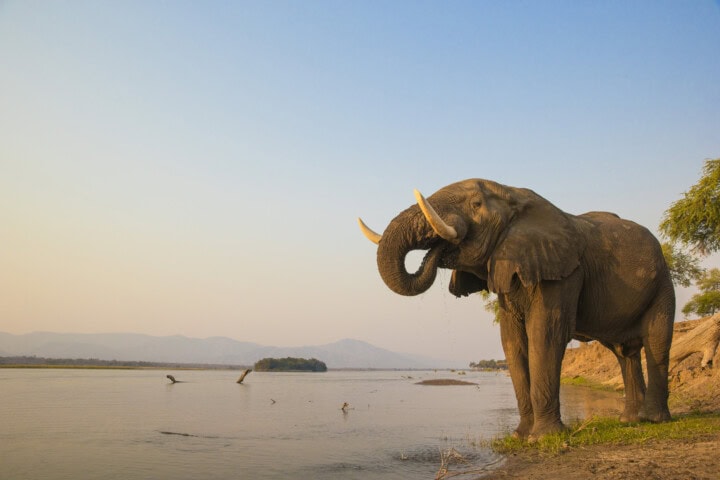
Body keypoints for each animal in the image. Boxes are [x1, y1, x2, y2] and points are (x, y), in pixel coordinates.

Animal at [358, 179, 674, 440]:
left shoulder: (563, 272)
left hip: (663, 283)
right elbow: (512, 341)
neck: (514, 195)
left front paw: (543, 438)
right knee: (624, 352)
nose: (436, 251)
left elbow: (545, 335)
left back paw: (653, 420)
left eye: (476, 205)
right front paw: (521, 436)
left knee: (656, 341)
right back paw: (629, 421)